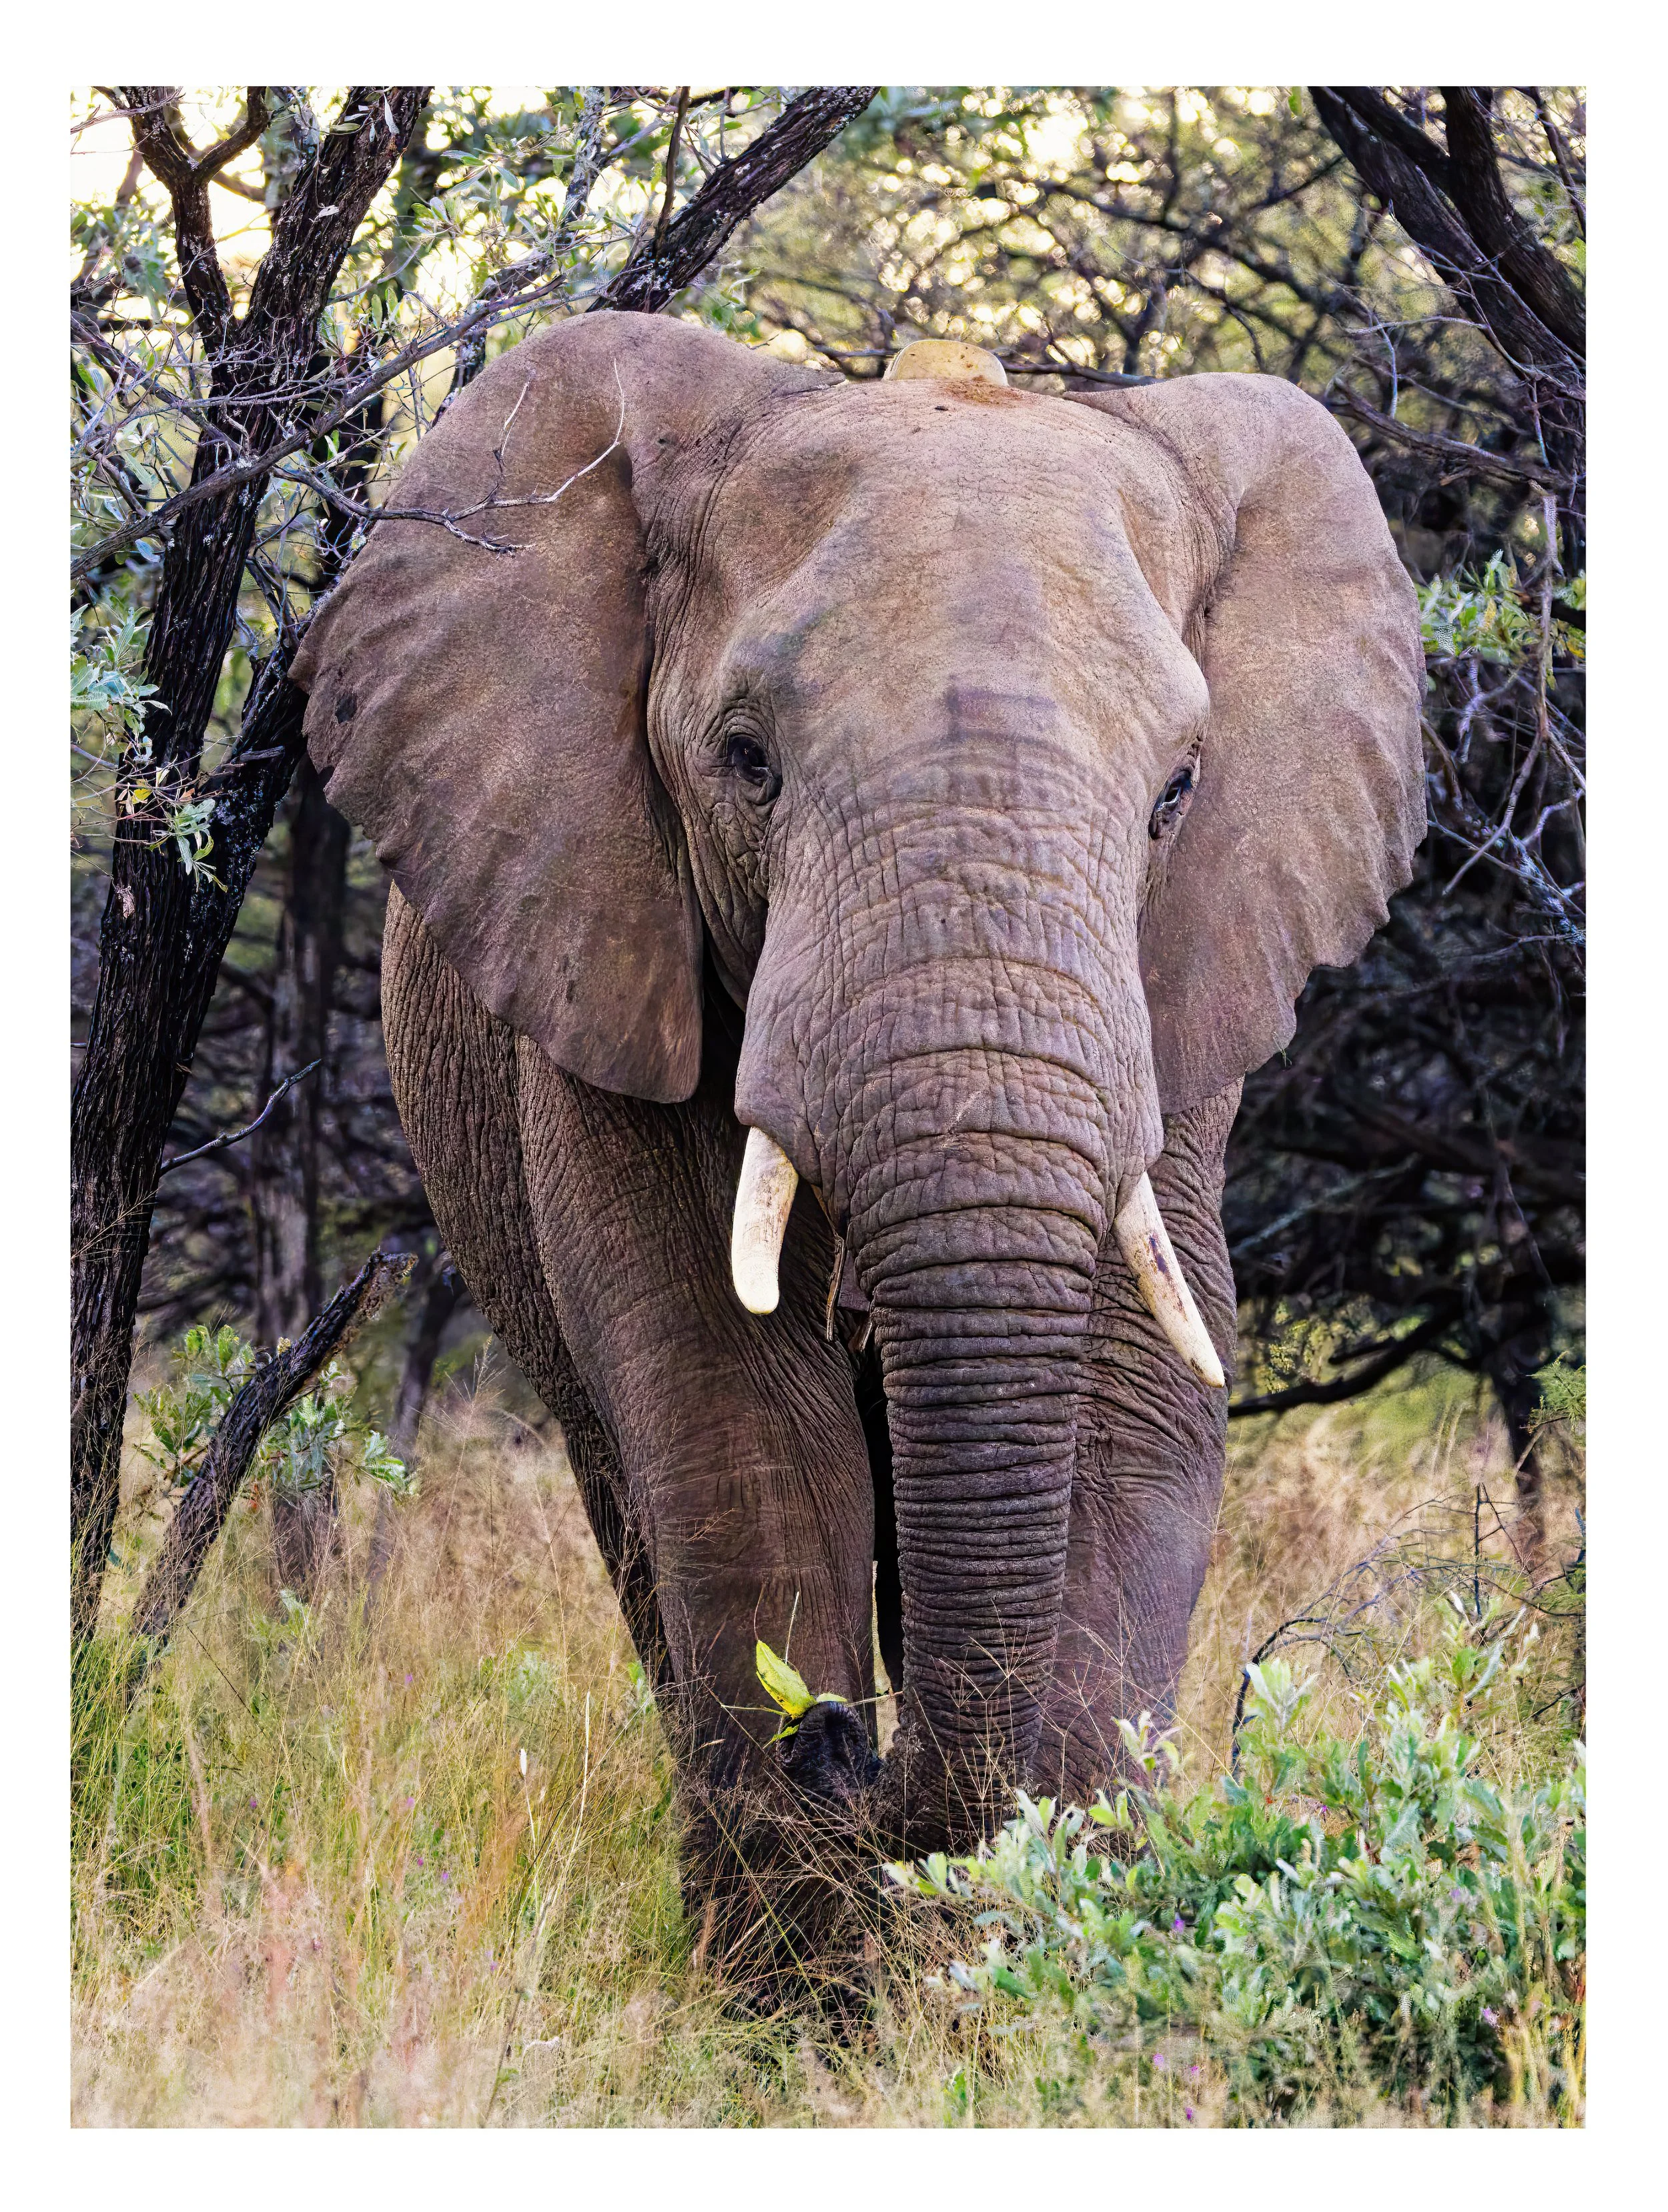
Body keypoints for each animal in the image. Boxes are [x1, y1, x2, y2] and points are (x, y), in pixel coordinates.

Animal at [294, 312, 1424, 1921]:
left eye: (1177, 793)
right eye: (745, 761)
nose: (835, 1736)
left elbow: (1137, 1400)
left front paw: (1038, 1926)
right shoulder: (608, 953)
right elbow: (736, 1409)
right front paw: (806, 1969)